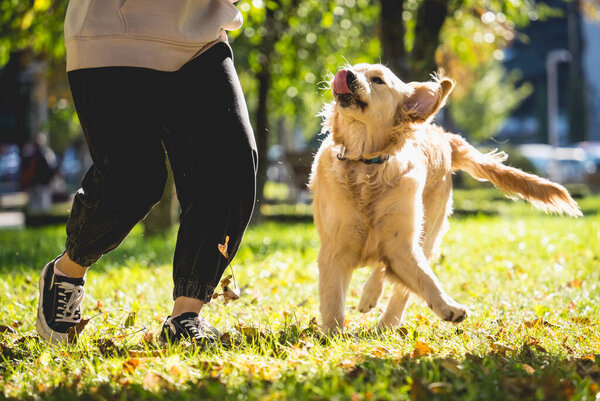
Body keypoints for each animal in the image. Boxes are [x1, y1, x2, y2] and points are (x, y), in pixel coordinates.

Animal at [310, 63, 580, 332]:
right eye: (354, 68)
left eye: (378, 80)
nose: (346, 74)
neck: (366, 164)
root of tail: (443, 135)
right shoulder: (335, 247)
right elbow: (333, 300)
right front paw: (332, 334)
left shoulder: (401, 241)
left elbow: (424, 277)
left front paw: (448, 307)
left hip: (427, 228)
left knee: (397, 280)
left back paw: (383, 319)